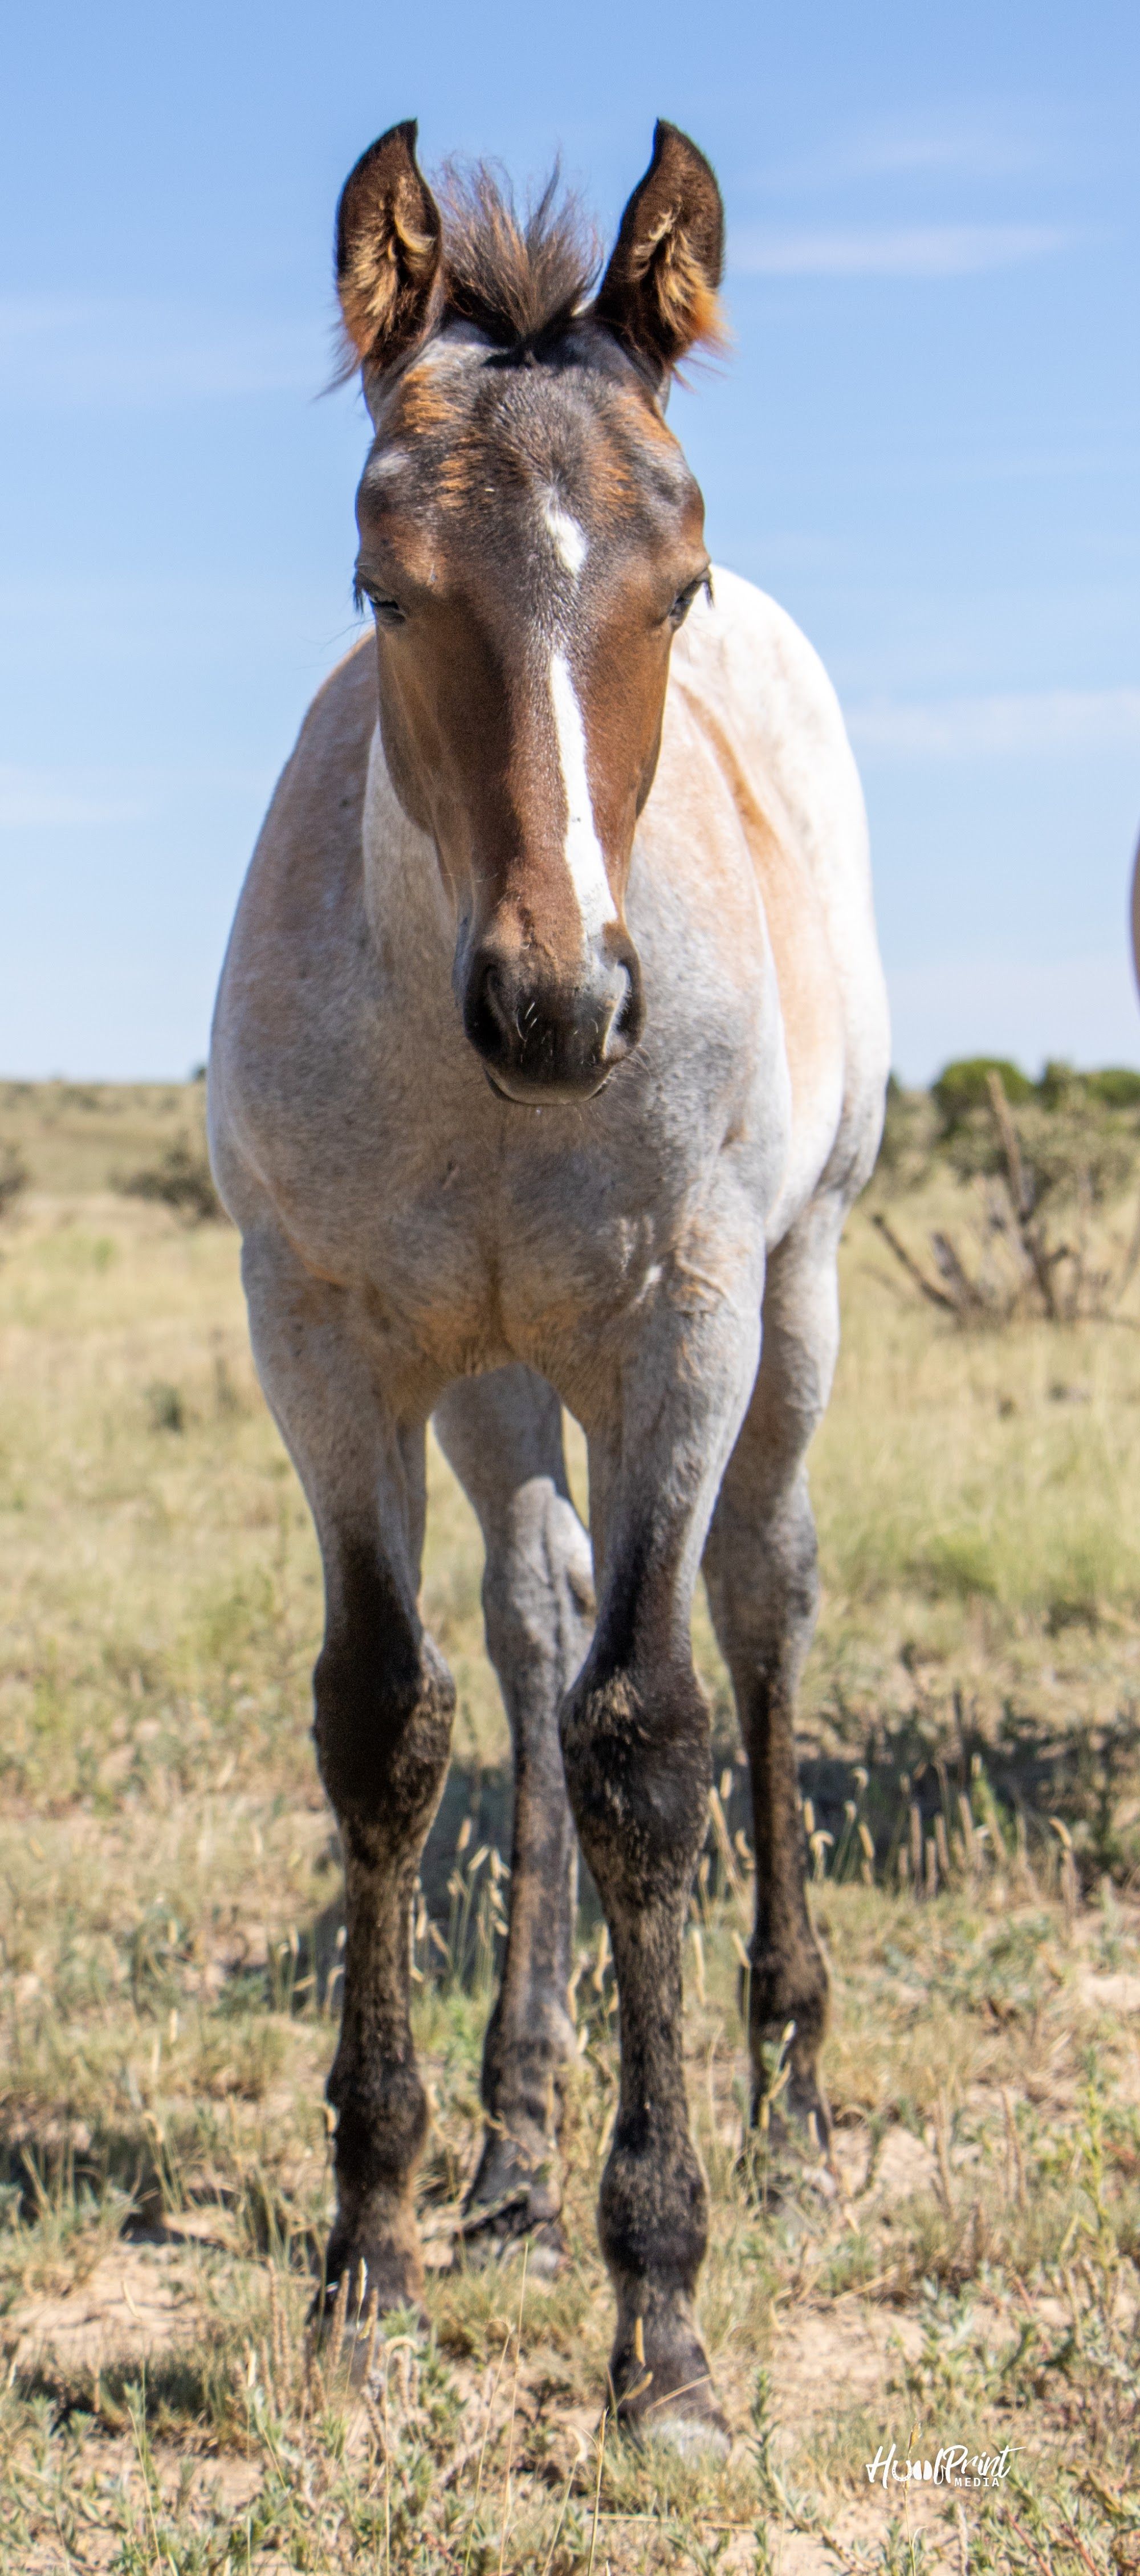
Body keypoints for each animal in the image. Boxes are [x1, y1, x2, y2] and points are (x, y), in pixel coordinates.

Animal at [209, 115, 890, 2446]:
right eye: (380, 585)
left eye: (672, 579)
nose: (558, 1006)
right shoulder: (325, 1336)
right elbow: (389, 1721)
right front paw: (368, 2260)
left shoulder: (683, 1319)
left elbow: (647, 1735)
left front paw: (659, 2313)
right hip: (507, 1368)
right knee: (523, 1630)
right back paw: (512, 2142)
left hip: (790, 1300)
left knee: (753, 1607)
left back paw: (787, 2103)